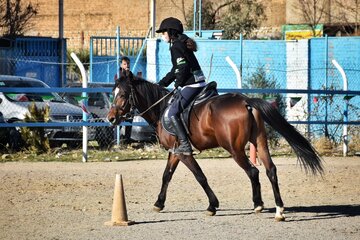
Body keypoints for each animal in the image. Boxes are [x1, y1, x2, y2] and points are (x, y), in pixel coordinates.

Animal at [107, 74, 324, 221]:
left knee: (253, 171)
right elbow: (166, 175)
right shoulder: (175, 152)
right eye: (113, 93)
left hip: (235, 150)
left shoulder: (184, 154)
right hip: (260, 143)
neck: (162, 108)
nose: (110, 118)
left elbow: (200, 176)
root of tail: (246, 102)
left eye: (123, 94)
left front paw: (212, 205)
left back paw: (258, 204)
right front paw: (159, 203)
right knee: (270, 170)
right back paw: (279, 210)